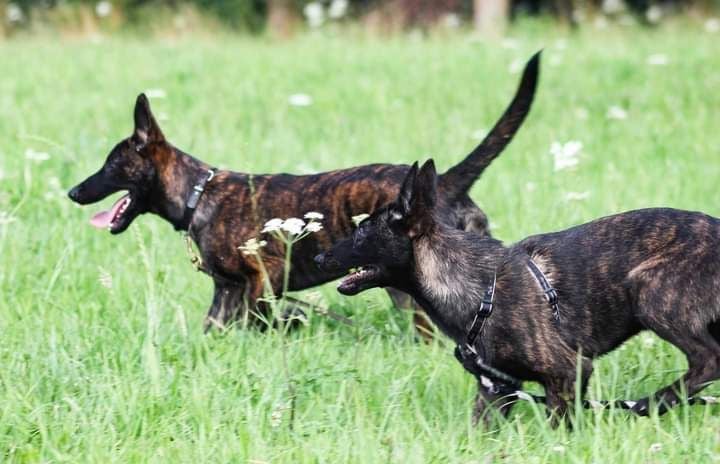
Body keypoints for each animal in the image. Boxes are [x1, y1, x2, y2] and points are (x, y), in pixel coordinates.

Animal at [69, 52, 540, 332]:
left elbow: (264, 319)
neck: (198, 195)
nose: (74, 191)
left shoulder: (265, 278)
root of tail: (444, 182)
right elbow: (215, 330)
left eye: (110, 164)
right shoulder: (226, 293)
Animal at [318, 161, 720, 426]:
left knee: (708, 359)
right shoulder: (496, 389)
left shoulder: (568, 371)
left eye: (361, 231)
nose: (320, 257)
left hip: (649, 292)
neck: (481, 289)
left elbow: (560, 425)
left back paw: (657, 401)